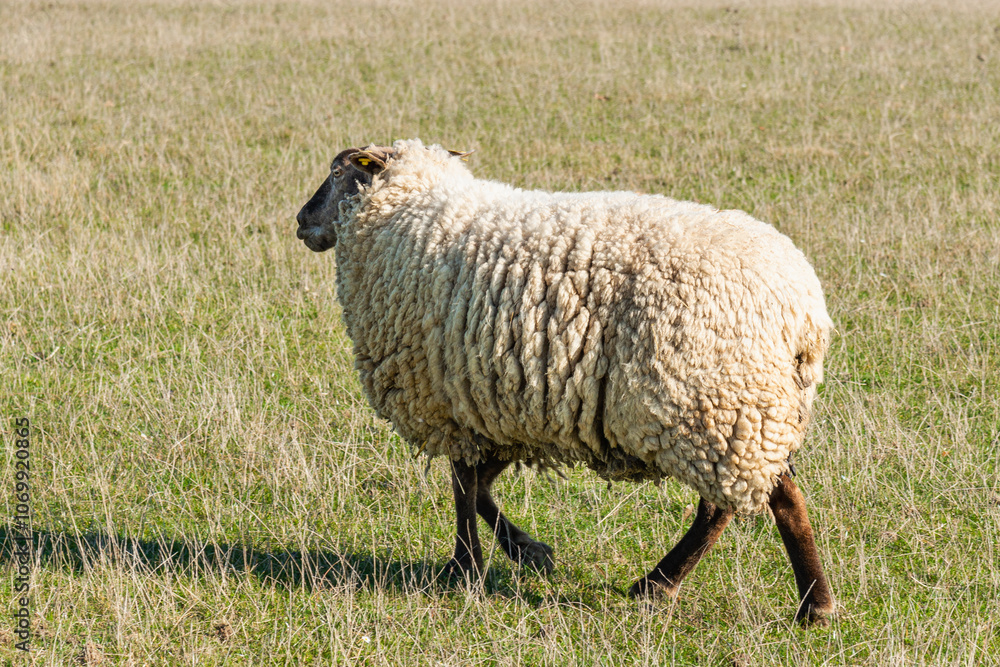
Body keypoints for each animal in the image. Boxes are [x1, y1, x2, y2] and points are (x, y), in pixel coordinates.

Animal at [296, 139, 835, 625]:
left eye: (338, 172)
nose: (301, 221)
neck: (406, 210)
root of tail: (804, 311)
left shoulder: (447, 401)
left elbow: (463, 486)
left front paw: (464, 566)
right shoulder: (497, 407)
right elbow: (481, 486)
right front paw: (527, 550)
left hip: (714, 405)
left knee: (764, 503)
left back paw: (794, 603)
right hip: (750, 409)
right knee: (734, 503)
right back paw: (671, 585)